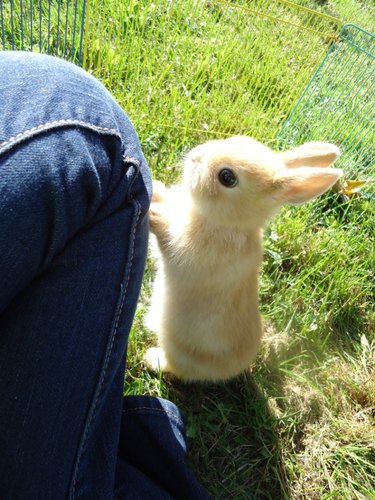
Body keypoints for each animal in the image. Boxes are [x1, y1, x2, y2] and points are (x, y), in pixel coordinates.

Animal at [145, 135, 344, 380]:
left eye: (227, 177)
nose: (194, 156)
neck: (228, 223)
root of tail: (236, 367)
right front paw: (156, 188)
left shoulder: (182, 248)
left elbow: (165, 234)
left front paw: (154, 212)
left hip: (177, 349)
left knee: (174, 367)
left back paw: (151, 359)